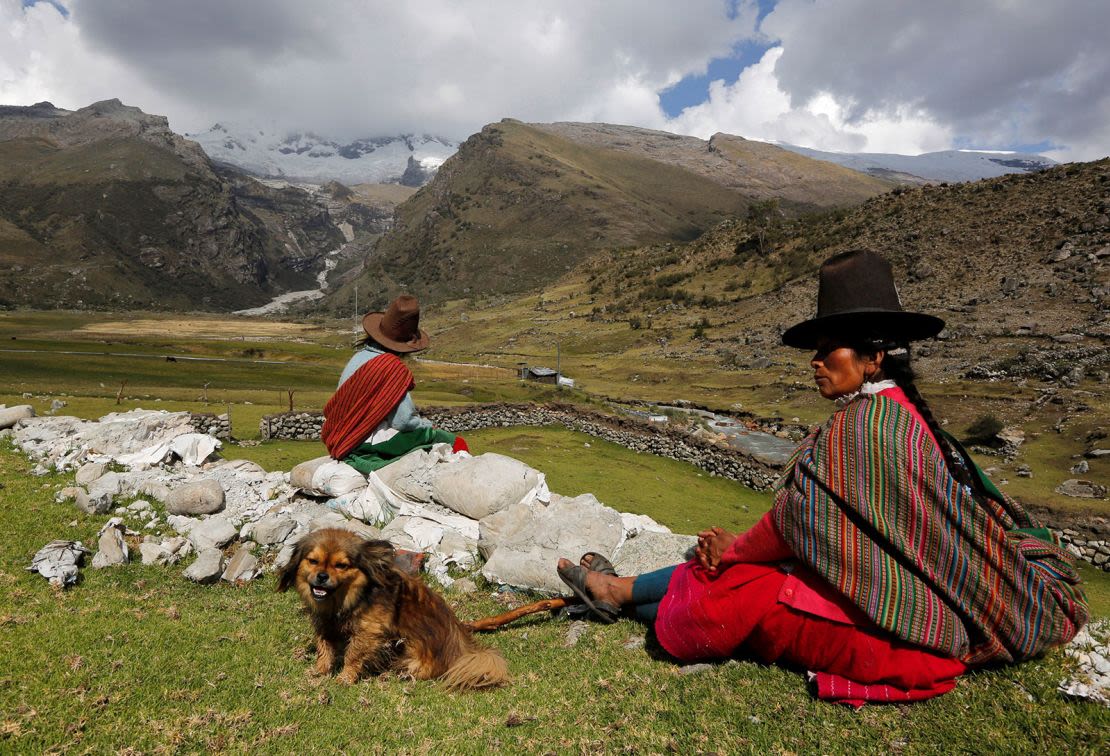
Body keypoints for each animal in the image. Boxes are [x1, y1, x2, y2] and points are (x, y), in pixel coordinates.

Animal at [277, 528, 508, 688]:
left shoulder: (369, 631)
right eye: (313, 561)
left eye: (341, 565)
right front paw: (319, 671)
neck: (351, 599)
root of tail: (463, 650)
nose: (322, 576)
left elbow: (353, 655)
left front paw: (344, 677)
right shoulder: (326, 625)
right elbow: (324, 648)